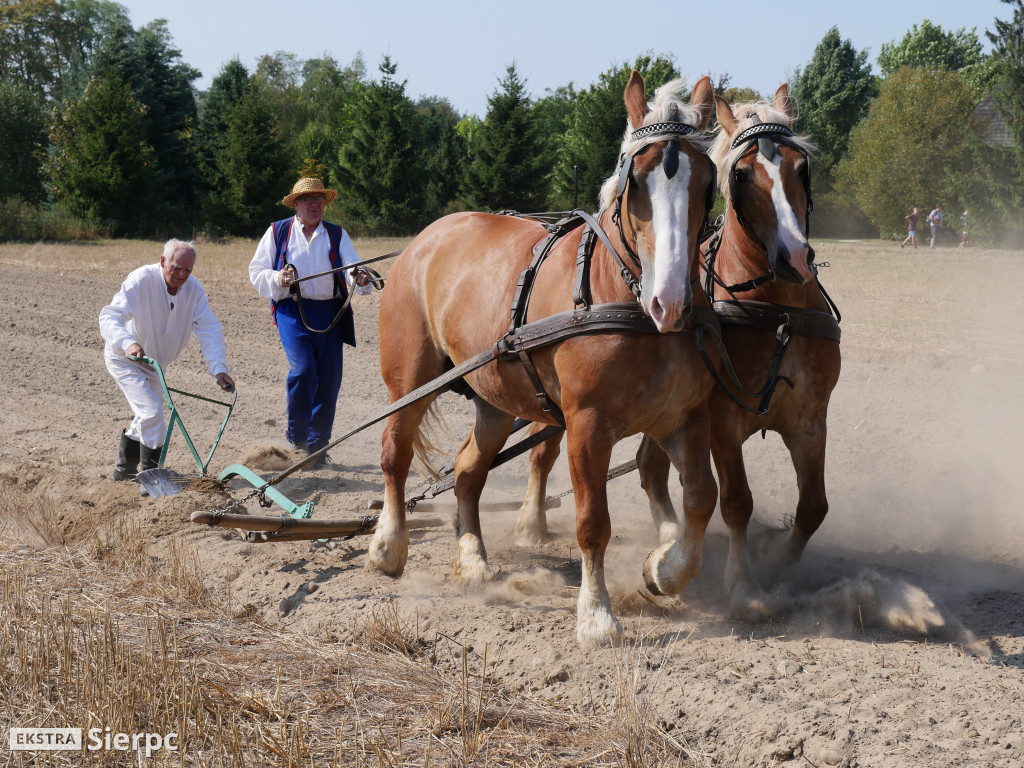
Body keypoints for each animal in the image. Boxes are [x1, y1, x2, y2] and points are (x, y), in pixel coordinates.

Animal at [372, 72, 716, 651]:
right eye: (635, 183)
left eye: (708, 181)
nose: (670, 302)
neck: (625, 301)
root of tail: (429, 236)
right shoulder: (586, 425)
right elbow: (592, 521)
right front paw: (596, 617)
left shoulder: (682, 419)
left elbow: (700, 500)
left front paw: (662, 569)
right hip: (410, 382)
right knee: (395, 455)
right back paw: (388, 546)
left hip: (494, 398)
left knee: (468, 471)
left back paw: (473, 560)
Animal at [512, 85, 839, 614]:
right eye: (741, 175)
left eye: (800, 166)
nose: (794, 257)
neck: (779, 311)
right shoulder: (722, 419)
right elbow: (737, 501)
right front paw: (743, 583)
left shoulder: (811, 417)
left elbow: (813, 507)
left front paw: (774, 557)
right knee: (544, 452)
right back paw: (531, 524)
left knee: (650, 466)